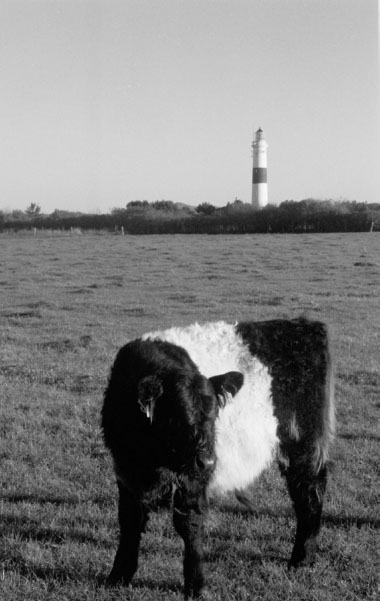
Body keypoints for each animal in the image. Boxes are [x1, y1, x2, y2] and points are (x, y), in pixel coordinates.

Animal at [101, 316, 336, 596]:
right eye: (176, 418)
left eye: (215, 416)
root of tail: (306, 325)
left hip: (303, 443)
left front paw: (196, 586)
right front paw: (119, 576)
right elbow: (129, 522)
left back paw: (302, 559)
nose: (210, 461)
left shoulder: (192, 479)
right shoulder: (125, 473)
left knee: (309, 493)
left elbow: (189, 525)